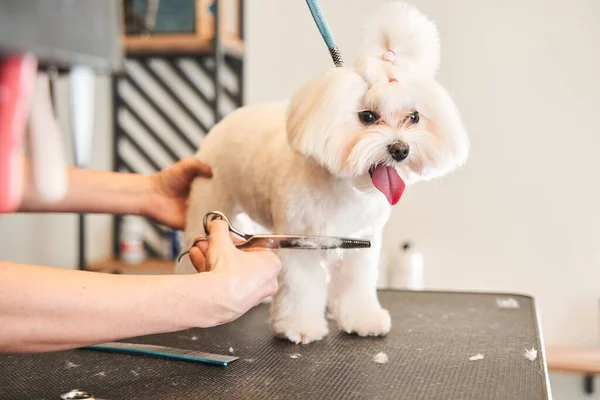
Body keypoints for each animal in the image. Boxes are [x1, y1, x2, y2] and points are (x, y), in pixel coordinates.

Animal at [176, 0, 472, 344]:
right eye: (367, 116)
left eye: (414, 117)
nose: (400, 149)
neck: (345, 189)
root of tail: (227, 121)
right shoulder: (299, 241)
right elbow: (301, 288)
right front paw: (299, 327)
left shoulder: (362, 243)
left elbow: (357, 285)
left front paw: (363, 320)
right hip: (212, 196)